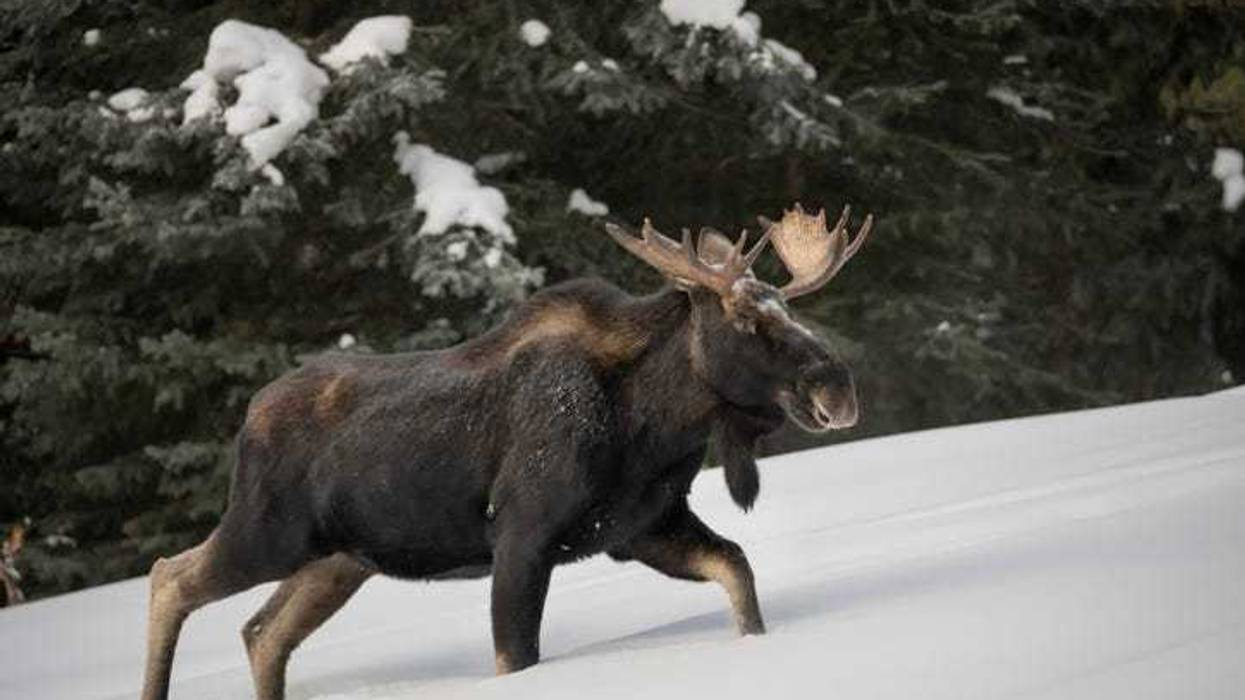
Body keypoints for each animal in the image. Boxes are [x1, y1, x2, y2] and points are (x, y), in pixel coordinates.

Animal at [141, 203, 873, 700]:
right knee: (169, 575)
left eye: (788, 310)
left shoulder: (640, 527)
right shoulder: (522, 532)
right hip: (268, 533)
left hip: (339, 561)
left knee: (261, 633)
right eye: (745, 319)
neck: (656, 424)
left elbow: (738, 574)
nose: (837, 387)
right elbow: (514, 657)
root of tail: (249, 417)